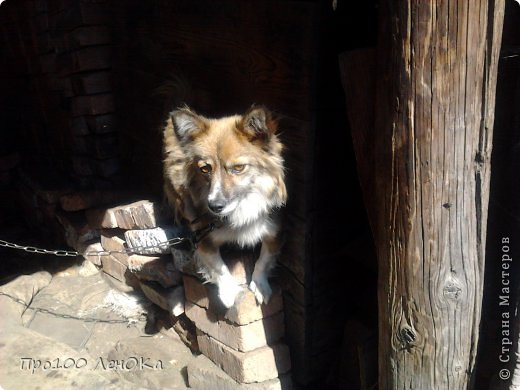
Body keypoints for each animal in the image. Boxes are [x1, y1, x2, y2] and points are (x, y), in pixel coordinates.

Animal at [162, 106, 286, 308]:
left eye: (239, 168)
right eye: (205, 169)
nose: (214, 206)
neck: (242, 208)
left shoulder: (274, 231)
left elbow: (264, 259)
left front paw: (260, 286)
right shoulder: (203, 237)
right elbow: (219, 267)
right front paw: (229, 293)